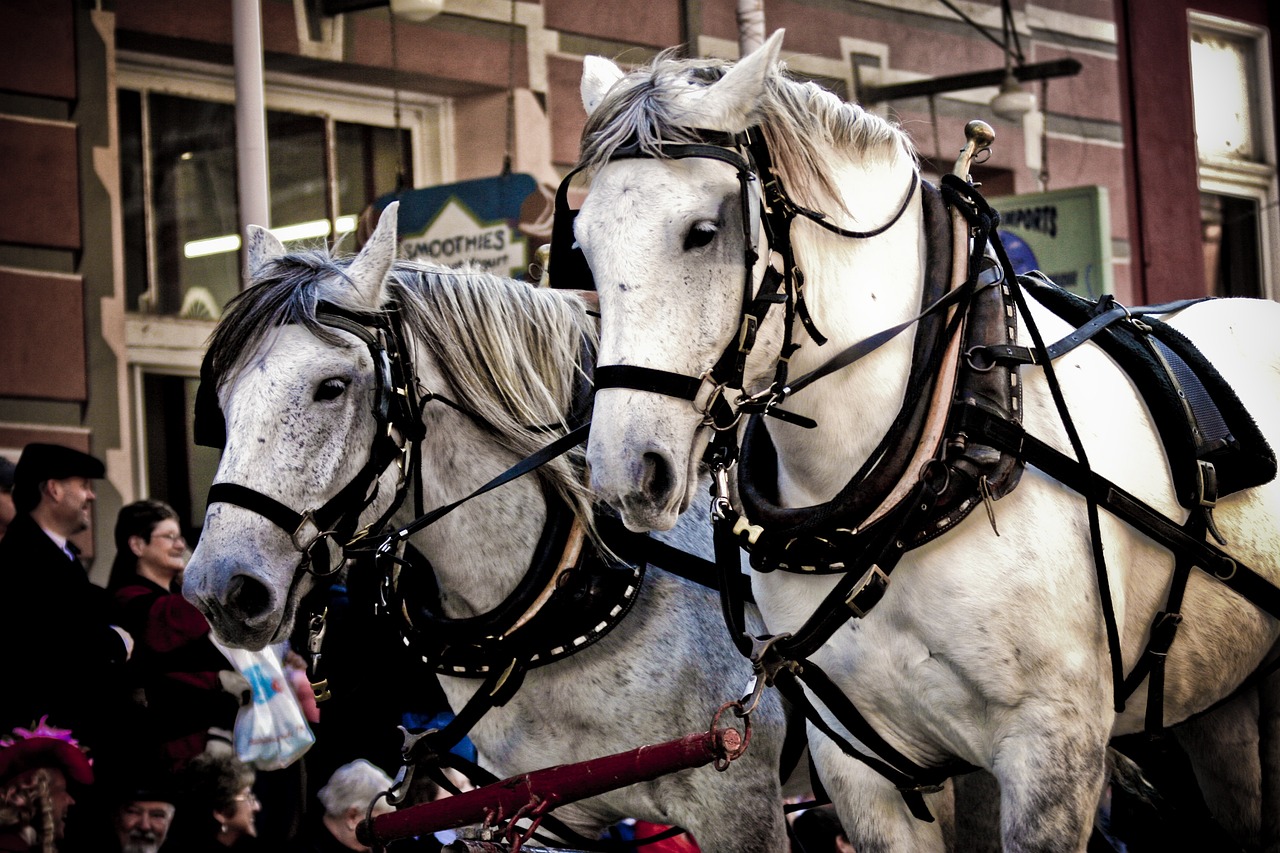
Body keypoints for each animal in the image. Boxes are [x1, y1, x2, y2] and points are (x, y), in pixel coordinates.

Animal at [573, 29, 1280, 845]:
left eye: (703, 233)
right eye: (582, 245)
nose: (626, 474)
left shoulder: (1054, 750)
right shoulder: (864, 765)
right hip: (1223, 701)